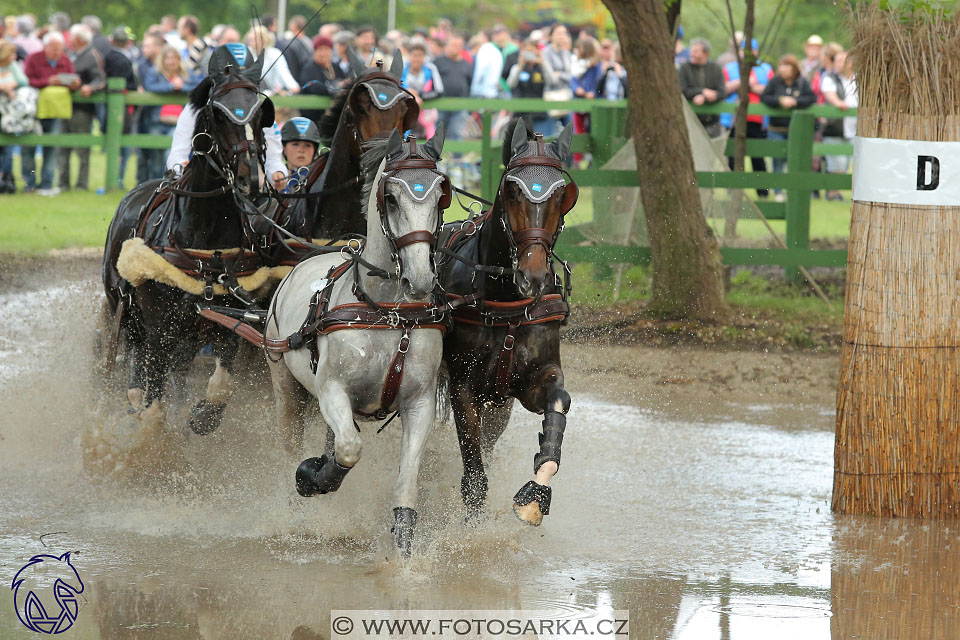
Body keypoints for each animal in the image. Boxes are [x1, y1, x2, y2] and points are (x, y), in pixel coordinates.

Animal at [101, 61, 274, 436]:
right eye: (219, 114)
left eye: (260, 113)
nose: (250, 177)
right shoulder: (159, 330)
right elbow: (154, 398)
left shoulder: (228, 324)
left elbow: (222, 385)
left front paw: (202, 415)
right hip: (128, 313)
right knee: (138, 361)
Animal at [436, 119, 576, 524]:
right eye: (512, 191)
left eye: (563, 196)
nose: (534, 276)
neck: (507, 301)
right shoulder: (463, 387)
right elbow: (474, 476)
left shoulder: (530, 381)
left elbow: (558, 402)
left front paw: (535, 495)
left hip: (498, 403)